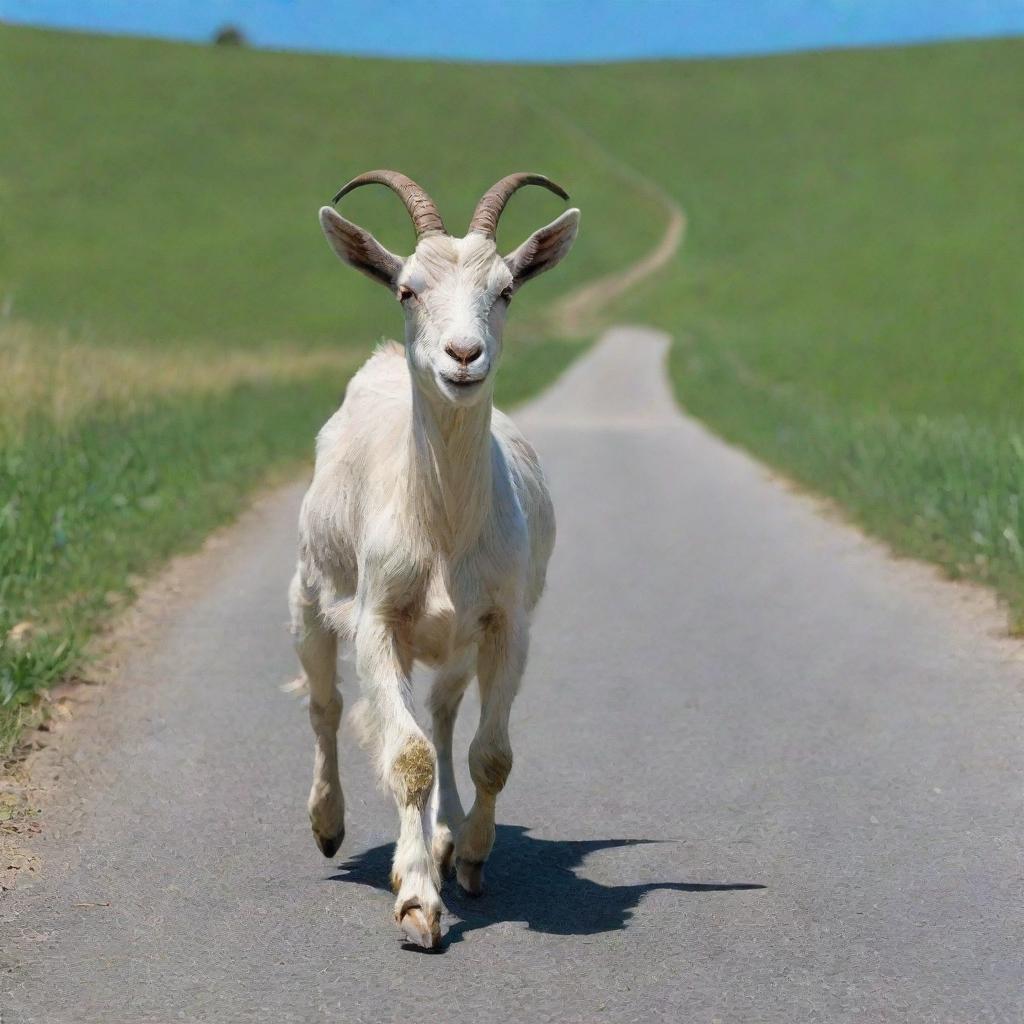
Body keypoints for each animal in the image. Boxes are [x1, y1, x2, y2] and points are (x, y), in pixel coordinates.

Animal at [290, 172, 577, 946]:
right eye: (407, 289)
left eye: (505, 289)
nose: (463, 355)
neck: (443, 530)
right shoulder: (377, 621)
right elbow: (407, 756)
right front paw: (417, 899)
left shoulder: (507, 625)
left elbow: (490, 755)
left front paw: (469, 856)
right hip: (310, 595)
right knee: (327, 705)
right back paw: (329, 823)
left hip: (456, 642)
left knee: (445, 715)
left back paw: (446, 835)